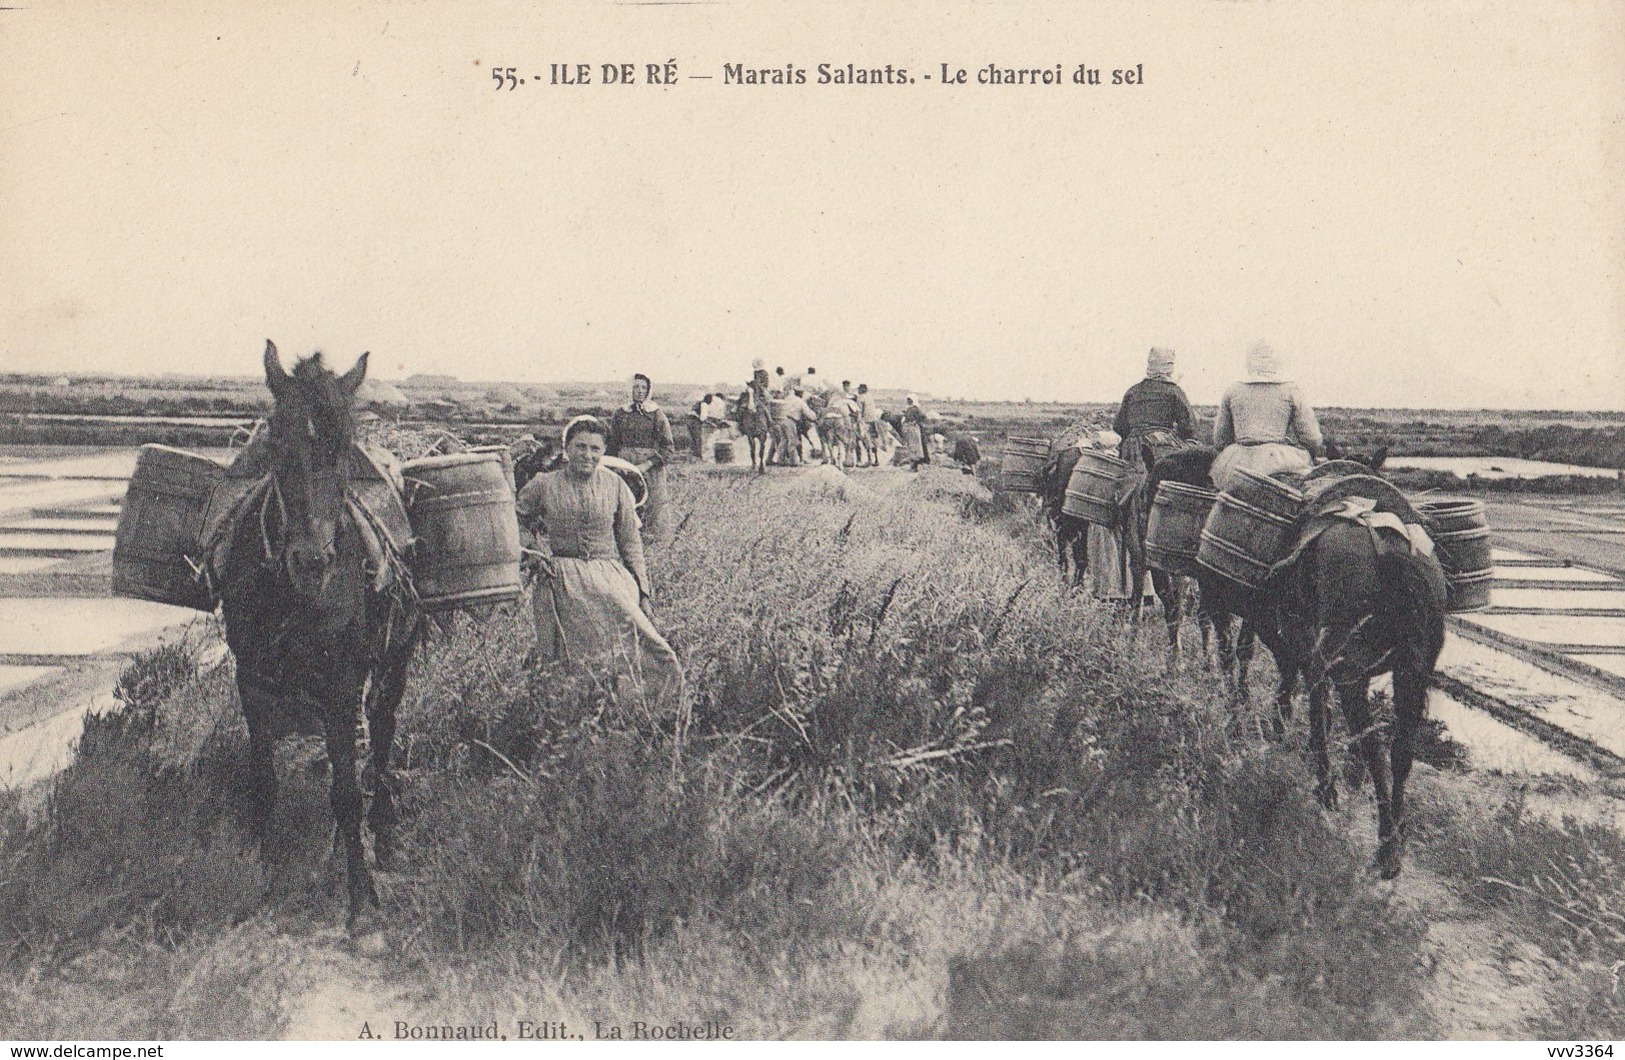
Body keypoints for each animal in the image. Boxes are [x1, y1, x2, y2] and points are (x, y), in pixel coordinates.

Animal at [217, 343, 425, 929]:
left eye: (343, 451)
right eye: (275, 445)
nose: (313, 562)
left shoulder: (340, 681)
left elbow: (348, 791)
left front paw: (360, 902)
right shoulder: (252, 680)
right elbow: (265, 783)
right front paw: (263, 879)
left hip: (394, 661)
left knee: (381, 735)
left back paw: (386, 833)